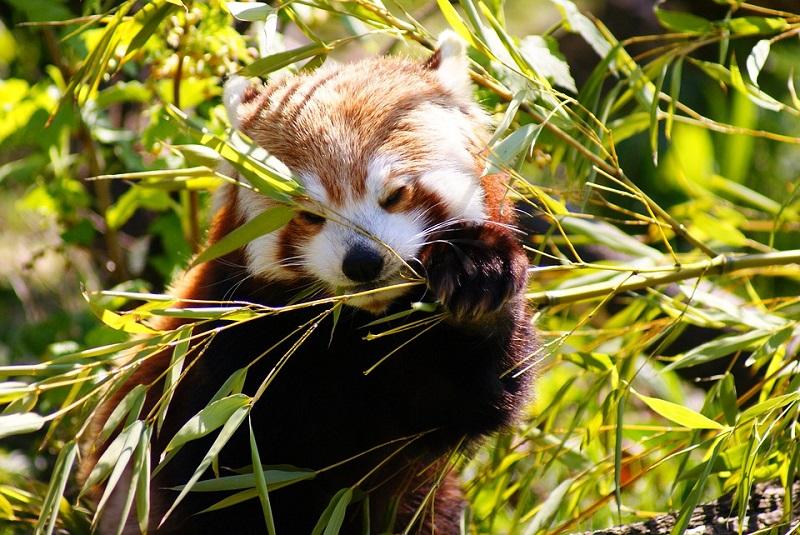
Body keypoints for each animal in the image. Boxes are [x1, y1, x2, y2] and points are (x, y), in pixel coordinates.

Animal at [83, 31, 536, 532]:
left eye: (395, 194)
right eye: (310, 215)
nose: (363, 262)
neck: (355, 334)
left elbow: (478, 391)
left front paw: (478, 277)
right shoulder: (217, 359)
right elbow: (208, 478)